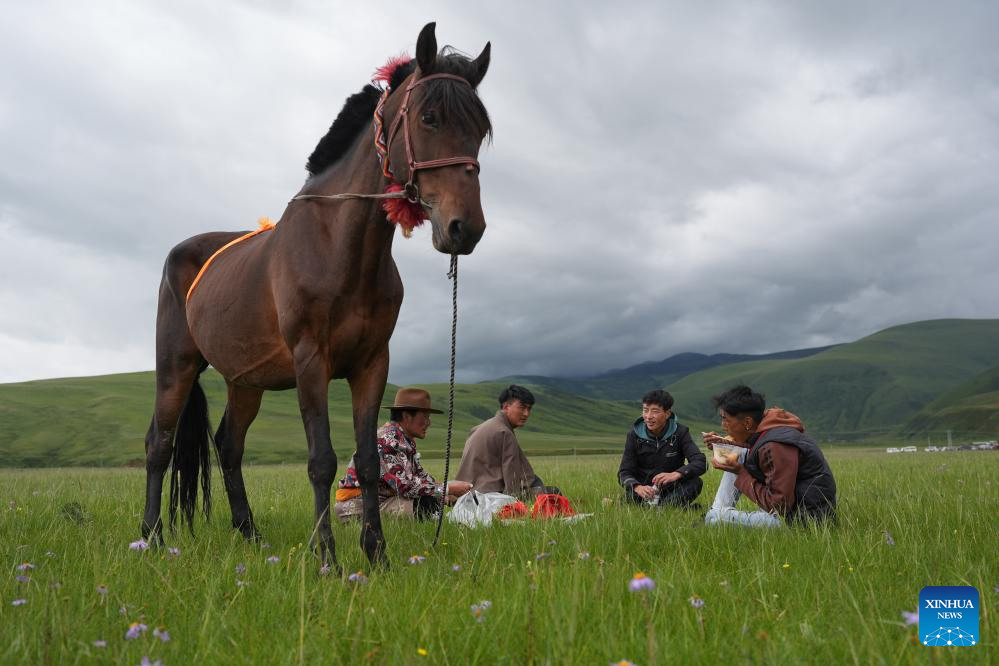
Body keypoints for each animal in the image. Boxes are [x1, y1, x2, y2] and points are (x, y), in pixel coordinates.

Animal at [143, 23, 494, 568]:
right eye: (429, 117)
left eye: (480, 129)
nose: (465, 228)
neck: (339, 247)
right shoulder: (312, 361)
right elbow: (322, 460)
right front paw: (327, 557)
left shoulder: (372, 364)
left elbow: (368, 462)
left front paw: (376, 553)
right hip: (175, 367)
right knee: (158, 444)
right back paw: (153, 537)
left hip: (245, 382)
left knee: (228, 445)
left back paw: (251, 534)